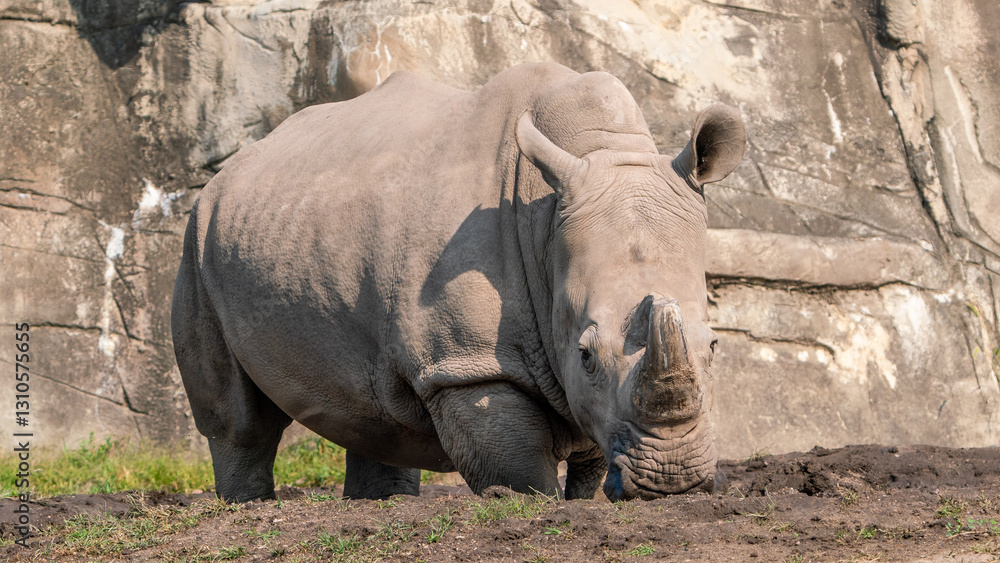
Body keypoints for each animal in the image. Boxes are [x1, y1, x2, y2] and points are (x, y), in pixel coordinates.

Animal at [171, 62, 746, 502]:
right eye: (585, 353)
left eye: (715, 345)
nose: (673, 479)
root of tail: (228, 170)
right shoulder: (467, 365)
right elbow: (519, 469)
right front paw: (524, 501)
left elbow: (590, 452)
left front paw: (593, 501)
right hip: (198, 238)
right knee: (238, 418)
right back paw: (248, 506)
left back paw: (384, 504)